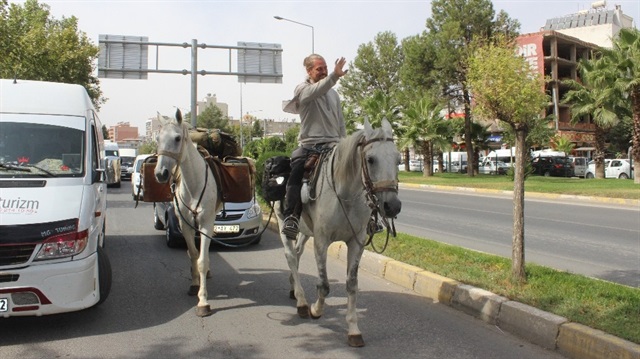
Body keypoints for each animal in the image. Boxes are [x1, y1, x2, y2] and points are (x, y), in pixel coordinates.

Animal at [154, 109, 221, 318]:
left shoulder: (206, 222)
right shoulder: (184, 224)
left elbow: (202, 260)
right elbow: (192, 254)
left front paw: (203, 301)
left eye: (177, 138)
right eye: (157, 138)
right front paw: (194, 285)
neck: (194, 183)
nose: (160, 174)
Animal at [274, 119, 400, 348]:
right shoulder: (321, 242)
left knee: (297, 253)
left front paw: (354, 330)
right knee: (290, 255)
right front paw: (316, 310)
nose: (393, 206)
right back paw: (302, 302)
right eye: (370, 159)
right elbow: (324, 285)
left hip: (305, 232)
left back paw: (293, 290)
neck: (345, 194)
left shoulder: (356, 243)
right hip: (283, 225)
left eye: (398, 159)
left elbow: (352, 285)